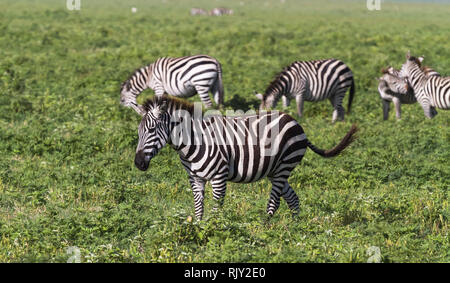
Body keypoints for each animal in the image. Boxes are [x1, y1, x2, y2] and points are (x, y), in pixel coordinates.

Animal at [132, 95, 356, 220]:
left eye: (151, 130)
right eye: (138, 132)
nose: (138, 163)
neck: (193, 141)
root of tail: (295, 121)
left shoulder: (219, 176)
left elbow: (216, 207)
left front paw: (214, 230)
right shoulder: (194, 178)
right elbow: (198, 207)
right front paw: (198, 228)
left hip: (284, 165)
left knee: (275, 201)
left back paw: (266, 228)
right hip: (276, 169)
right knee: (292, 198)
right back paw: (294, 228)